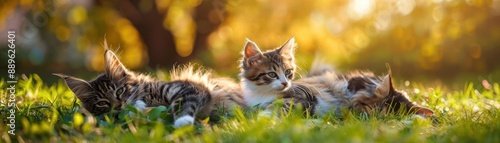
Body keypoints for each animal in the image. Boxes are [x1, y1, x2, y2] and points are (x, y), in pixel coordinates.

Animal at [54, 40, 244, 128]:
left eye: (119, 91)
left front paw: (182, 122)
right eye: (102, 103)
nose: (119, 105)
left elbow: (182, 105)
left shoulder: (190, 88)